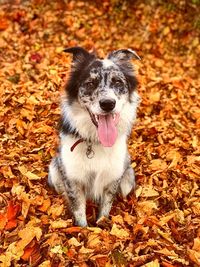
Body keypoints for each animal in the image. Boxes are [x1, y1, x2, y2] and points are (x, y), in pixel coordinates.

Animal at [47, 46, 140, 226]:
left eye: (117, 82)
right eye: (90, 83)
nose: (108, 104)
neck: (96, 142)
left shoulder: (112, 178)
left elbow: (105, 210)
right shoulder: (73, 179)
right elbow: (79, 213)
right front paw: (83, 231)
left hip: (127, 178)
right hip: (54, 172)